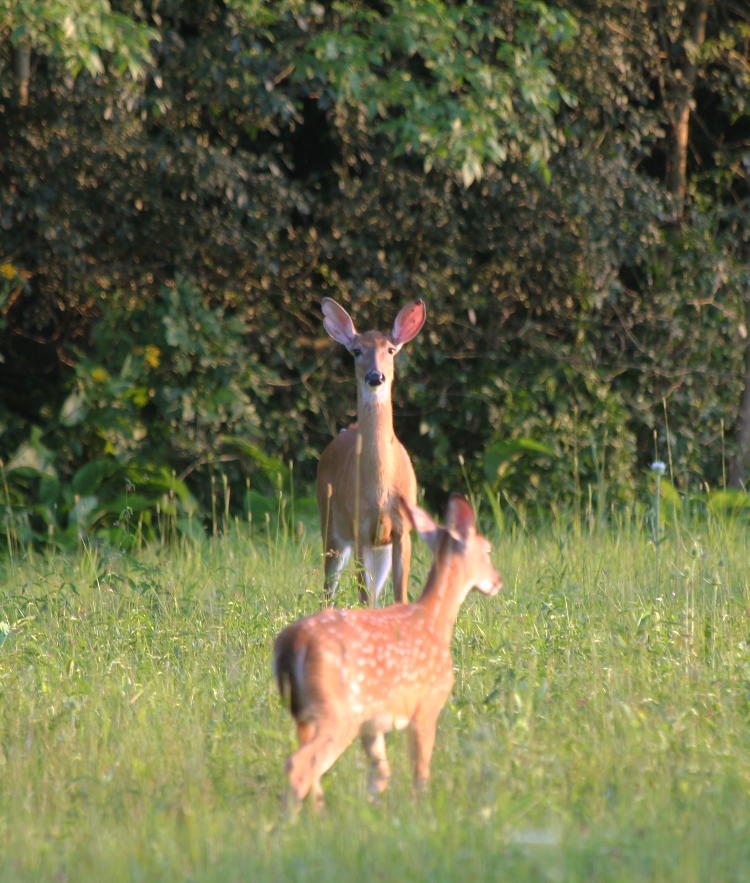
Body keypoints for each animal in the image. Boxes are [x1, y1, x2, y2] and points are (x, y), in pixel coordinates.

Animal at [274, 494, 502, 812]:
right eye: (487, 549)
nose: (497, 580)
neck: (434, 621)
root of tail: (292, 645)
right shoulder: (427, 703)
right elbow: (420, 771)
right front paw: (422, 809)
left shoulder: (373, 722)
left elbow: (381, 773)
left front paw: (375, 811)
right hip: (336, 710)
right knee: (300, 764)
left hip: (306, 714)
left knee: (311, 767)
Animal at [314, 298, 426, 608]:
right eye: (356, 351)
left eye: (390, 350)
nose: (376, 376)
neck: (381, 487)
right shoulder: (359, 529)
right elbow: (364, 597)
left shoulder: (402, 529)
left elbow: (400, 595)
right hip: (331, 524)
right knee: (329, 588)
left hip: (379, 548)